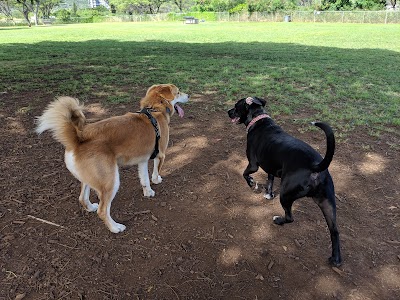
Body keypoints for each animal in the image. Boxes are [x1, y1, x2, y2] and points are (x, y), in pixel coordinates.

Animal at [36, 83, 189, 233]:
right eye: (178, 92)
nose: (188, 95)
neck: (155, 109)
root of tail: (78, 139)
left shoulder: (142, 160)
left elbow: (144, 179)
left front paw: (148, 192)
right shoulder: (160, 154)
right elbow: (155, 173)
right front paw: (157, 181)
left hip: (89, 178)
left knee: (82, 198)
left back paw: (91, 207)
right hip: (111, 181)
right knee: (103, 211)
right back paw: (115, 227)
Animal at [228, 97, 340, 266]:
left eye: (236, 107)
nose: (227, 112)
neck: (259, 119)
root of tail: (315, 165)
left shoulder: (253, 164)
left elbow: (245, 174)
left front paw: (253, 184)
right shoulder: (271, 167)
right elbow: (269, 181)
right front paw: (268, 194)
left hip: (286, 194)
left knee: (290, 218)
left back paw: (278, 220)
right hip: (327, 203)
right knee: (334, 231)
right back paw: (336, 259)